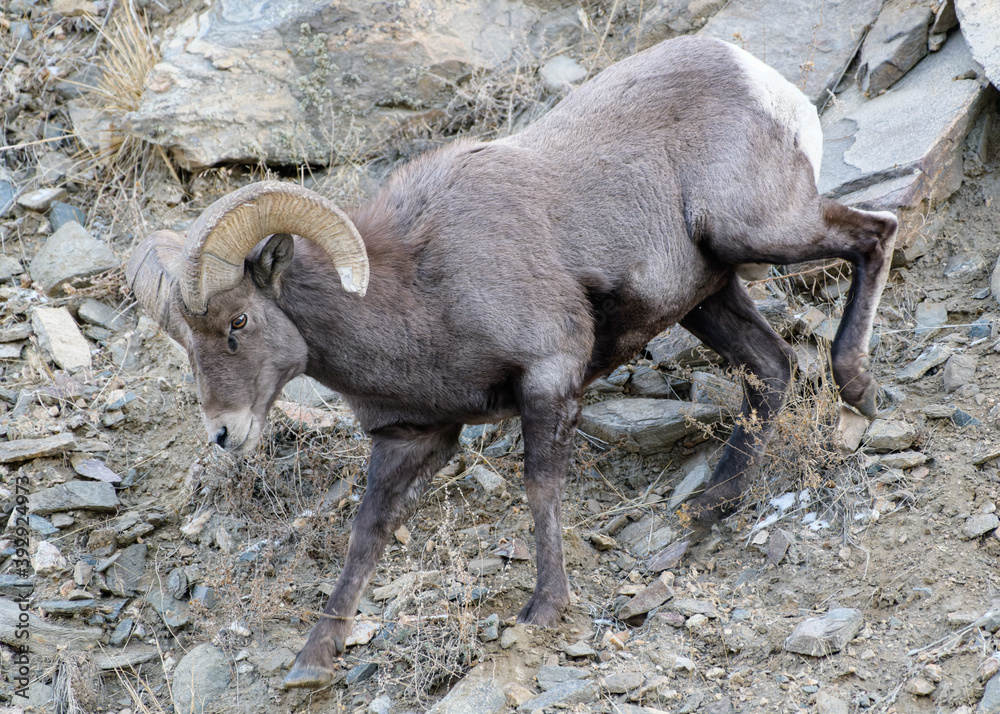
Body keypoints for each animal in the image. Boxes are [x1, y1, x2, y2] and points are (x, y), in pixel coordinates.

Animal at [127, 35, 898, 689]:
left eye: (238, 323)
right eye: (185, 344)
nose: (224, 433)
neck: (418, 290)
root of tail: (761, 80)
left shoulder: (549, 378)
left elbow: (540, 488)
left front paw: (545, 610)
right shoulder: (411, 438)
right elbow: (366, 535)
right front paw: (313, 659)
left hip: (756, 229)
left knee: (874, 234)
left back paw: (858, 388)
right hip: (708, 293)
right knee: (772, 367)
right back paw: (710, 505)